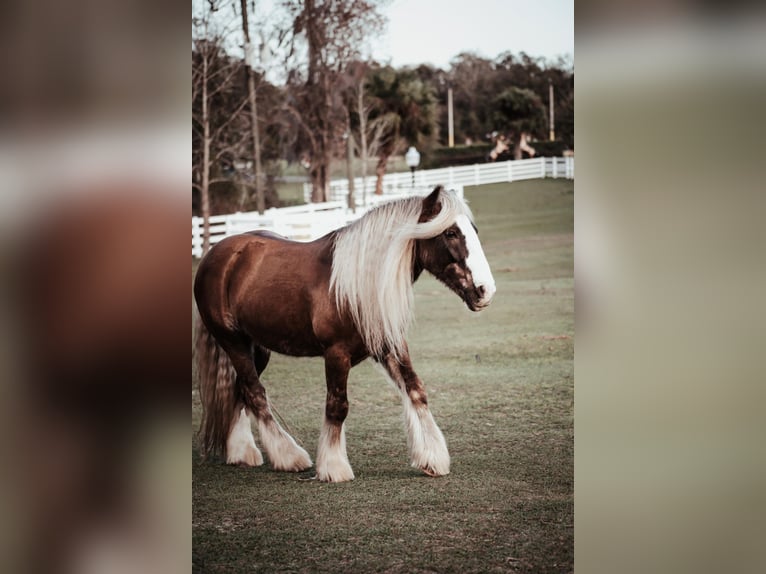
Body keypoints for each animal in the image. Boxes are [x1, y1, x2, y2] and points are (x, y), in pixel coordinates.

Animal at [195, 187, 498, 484]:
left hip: (257, 348)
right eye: (450, 233)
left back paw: (242, 451)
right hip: (234, 343)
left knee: (241, 390)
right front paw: (333, 467)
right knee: (255, 393)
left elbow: (416, 391)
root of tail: (215, 254)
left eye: (472, 229)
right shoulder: (336, 354)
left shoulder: (390, 346)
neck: (358, 282)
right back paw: (288, 456)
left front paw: (432, 458)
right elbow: (337, 406)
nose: (485, 290)